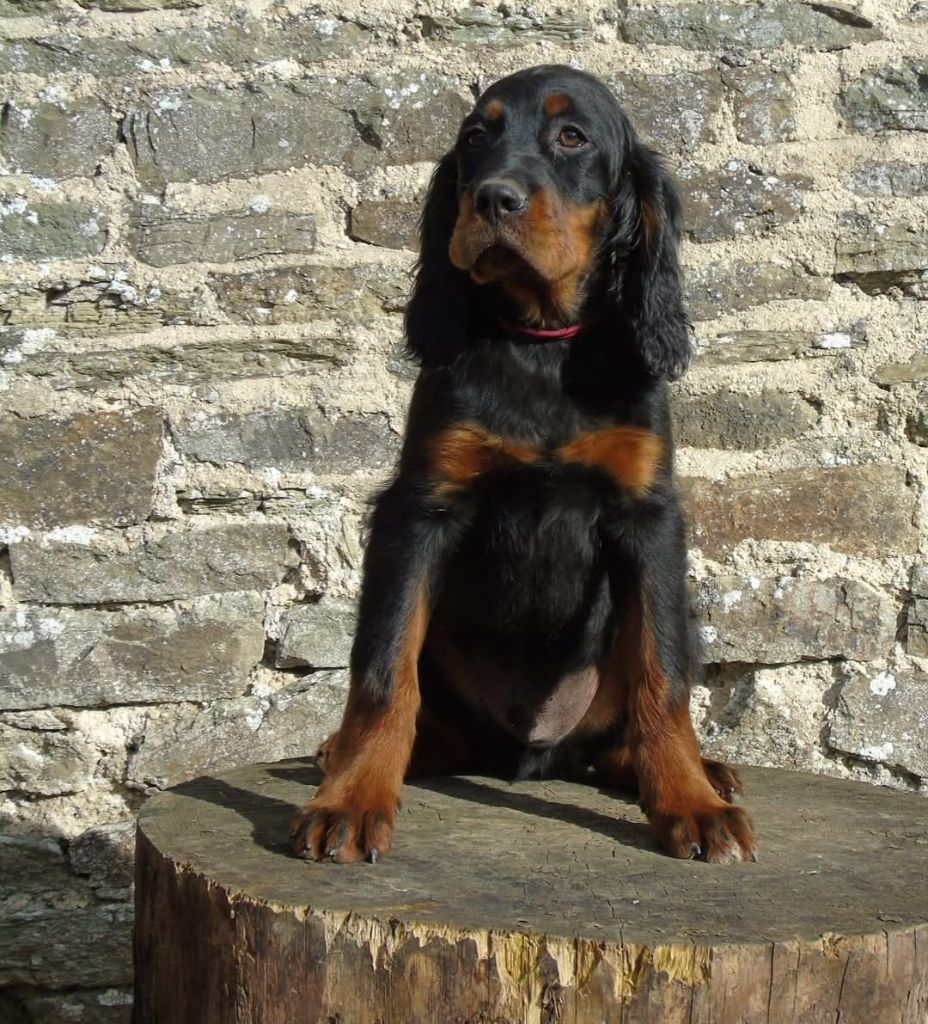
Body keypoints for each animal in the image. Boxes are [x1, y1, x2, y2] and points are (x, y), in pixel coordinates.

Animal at [288, 61, 753, 864]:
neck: (541, 342)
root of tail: (534, 757)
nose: (492, 198)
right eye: (477, 137)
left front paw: (692, 806)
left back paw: (704, 772)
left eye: (571, 138)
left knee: (623, 728)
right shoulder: (419, 508)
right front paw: (350, 801)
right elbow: (383, 671)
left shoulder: (648, 516)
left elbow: (663, 678)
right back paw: (341, 757)